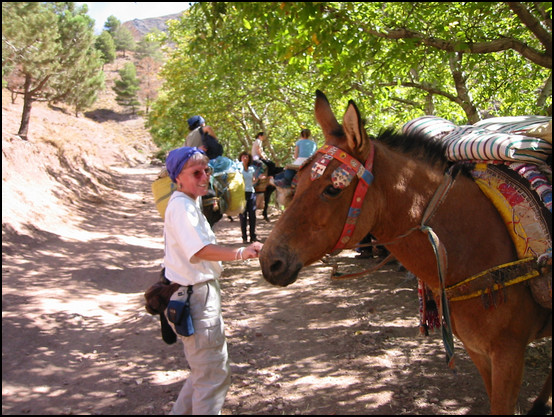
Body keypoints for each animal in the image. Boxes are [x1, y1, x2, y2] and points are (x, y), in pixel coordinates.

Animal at [258, 90, 548, 412]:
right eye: (297, 183)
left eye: (332, 189)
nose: (269, 261)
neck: (476, 246)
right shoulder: (479, 351)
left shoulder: (509, 355)